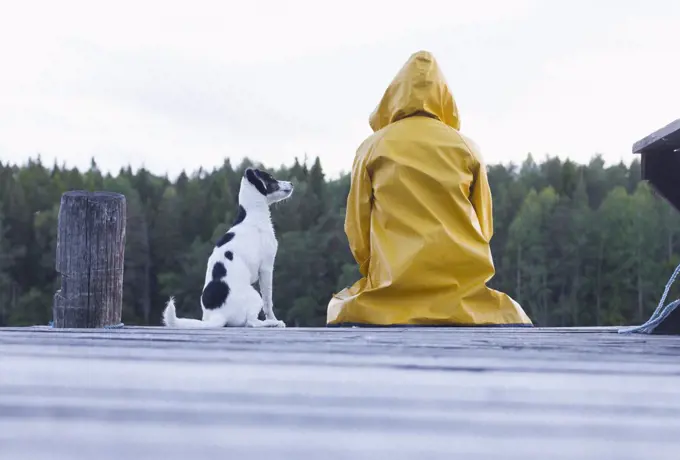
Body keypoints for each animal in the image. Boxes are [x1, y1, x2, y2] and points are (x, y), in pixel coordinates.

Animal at [165, 167, 294, 328]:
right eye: (270, 178)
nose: (291, 183)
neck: (252, 214)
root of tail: (218, 315)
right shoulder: (266, 268)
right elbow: (268, 302)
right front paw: (274, 319)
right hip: (255, 295)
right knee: (251, 322)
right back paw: (271, 323)